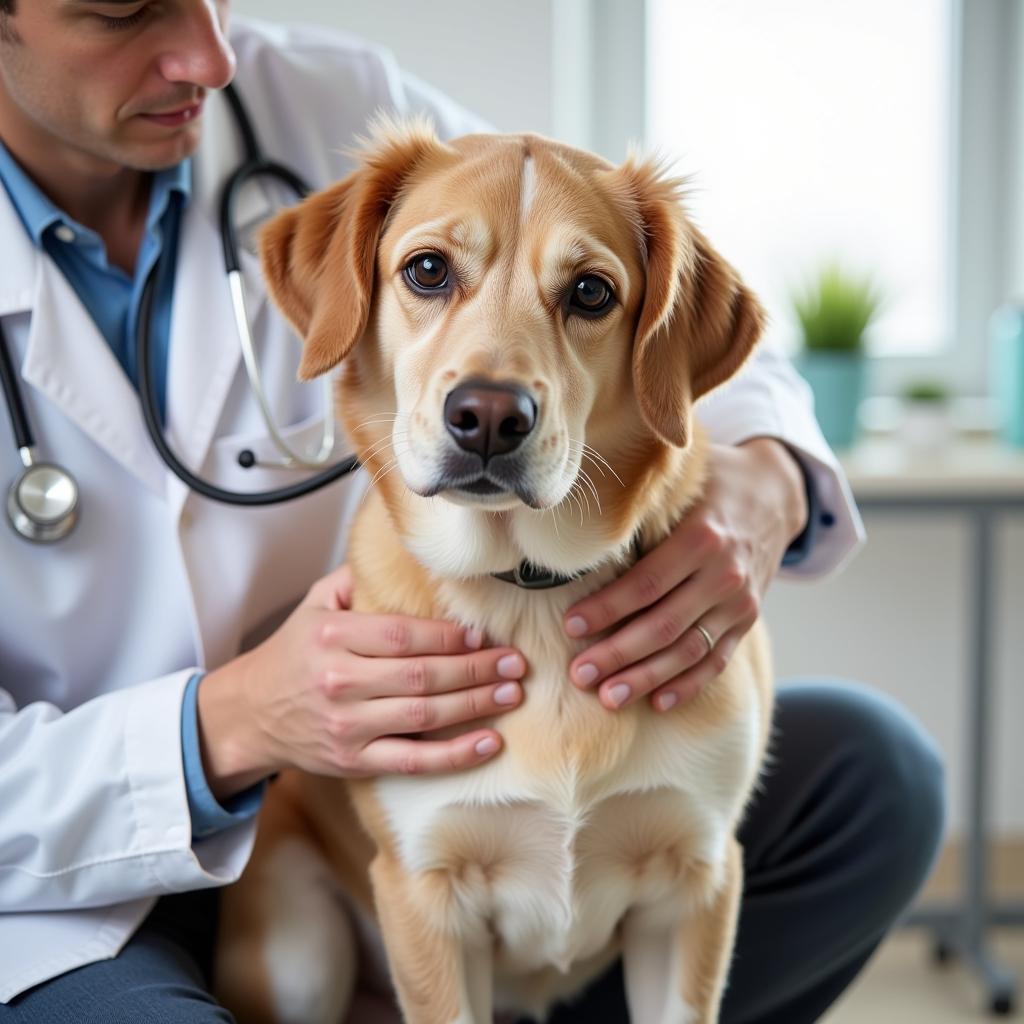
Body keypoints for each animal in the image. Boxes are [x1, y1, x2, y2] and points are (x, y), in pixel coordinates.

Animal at [218, 121, 774, 1024]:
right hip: (300, 955)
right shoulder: (424, 897)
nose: (487, 416)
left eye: (591, 292)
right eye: (428, 270)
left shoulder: (696, 883)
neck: (530, 590)